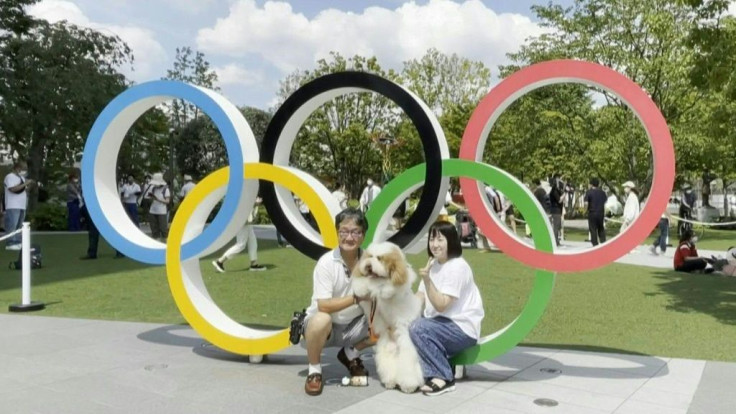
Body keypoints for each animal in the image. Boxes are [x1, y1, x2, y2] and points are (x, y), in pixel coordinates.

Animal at [352, 241, 426, 392]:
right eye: (370, 256)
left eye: (380, 259)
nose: (368, 265)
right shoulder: (369, 304)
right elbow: (362, 284)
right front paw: (361, 288)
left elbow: (388, 287)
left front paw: (384, 290)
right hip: (387, 348)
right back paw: (390, 382)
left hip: (406, 347)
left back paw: (408, 386)